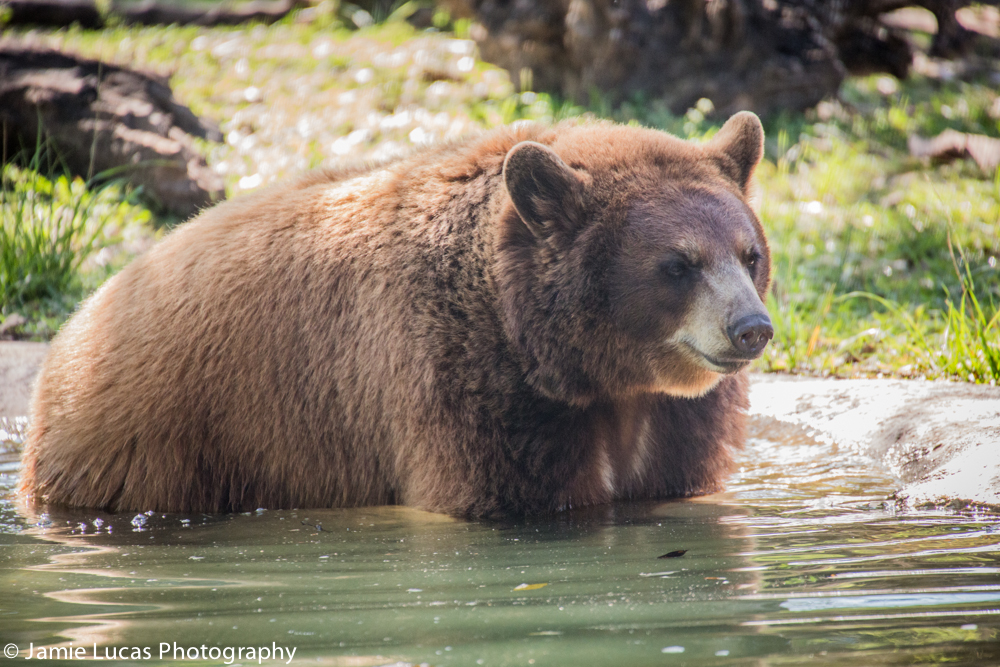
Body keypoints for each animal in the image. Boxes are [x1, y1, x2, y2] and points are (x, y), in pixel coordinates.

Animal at [19, 112, 773, 518]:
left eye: (750, 253)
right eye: (678, 263)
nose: (750, 328)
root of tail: (74, 327)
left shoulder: (670, 422)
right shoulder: (459, 380)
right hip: (161, 443)